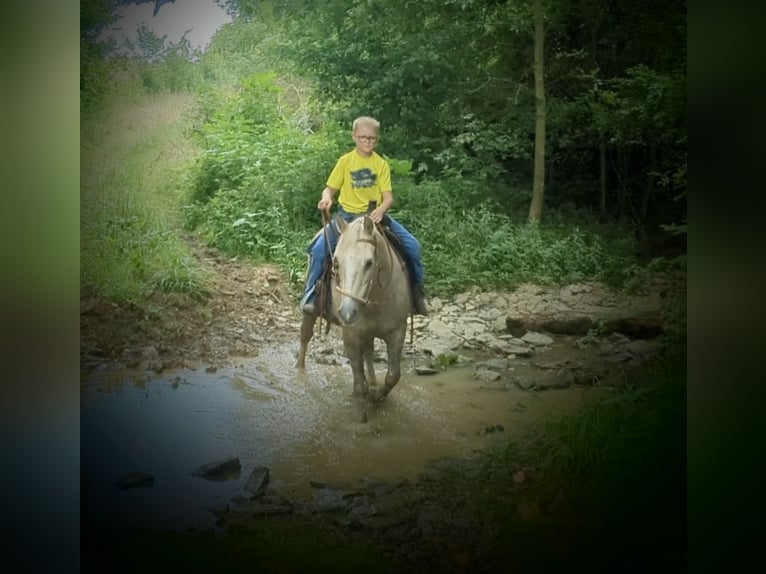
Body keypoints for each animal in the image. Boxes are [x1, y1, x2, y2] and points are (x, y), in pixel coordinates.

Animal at [296, 214, 414, 408]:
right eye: (336, 262)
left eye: (369, 262)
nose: (347, 312)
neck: (375, 300)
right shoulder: (351, 334)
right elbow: (360, 385)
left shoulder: (397, 331)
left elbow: (393, 376)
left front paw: (378, 397)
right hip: (310, 310)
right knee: (305, 336)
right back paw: (299, 371)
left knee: (368, 352)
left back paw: (373, 381)